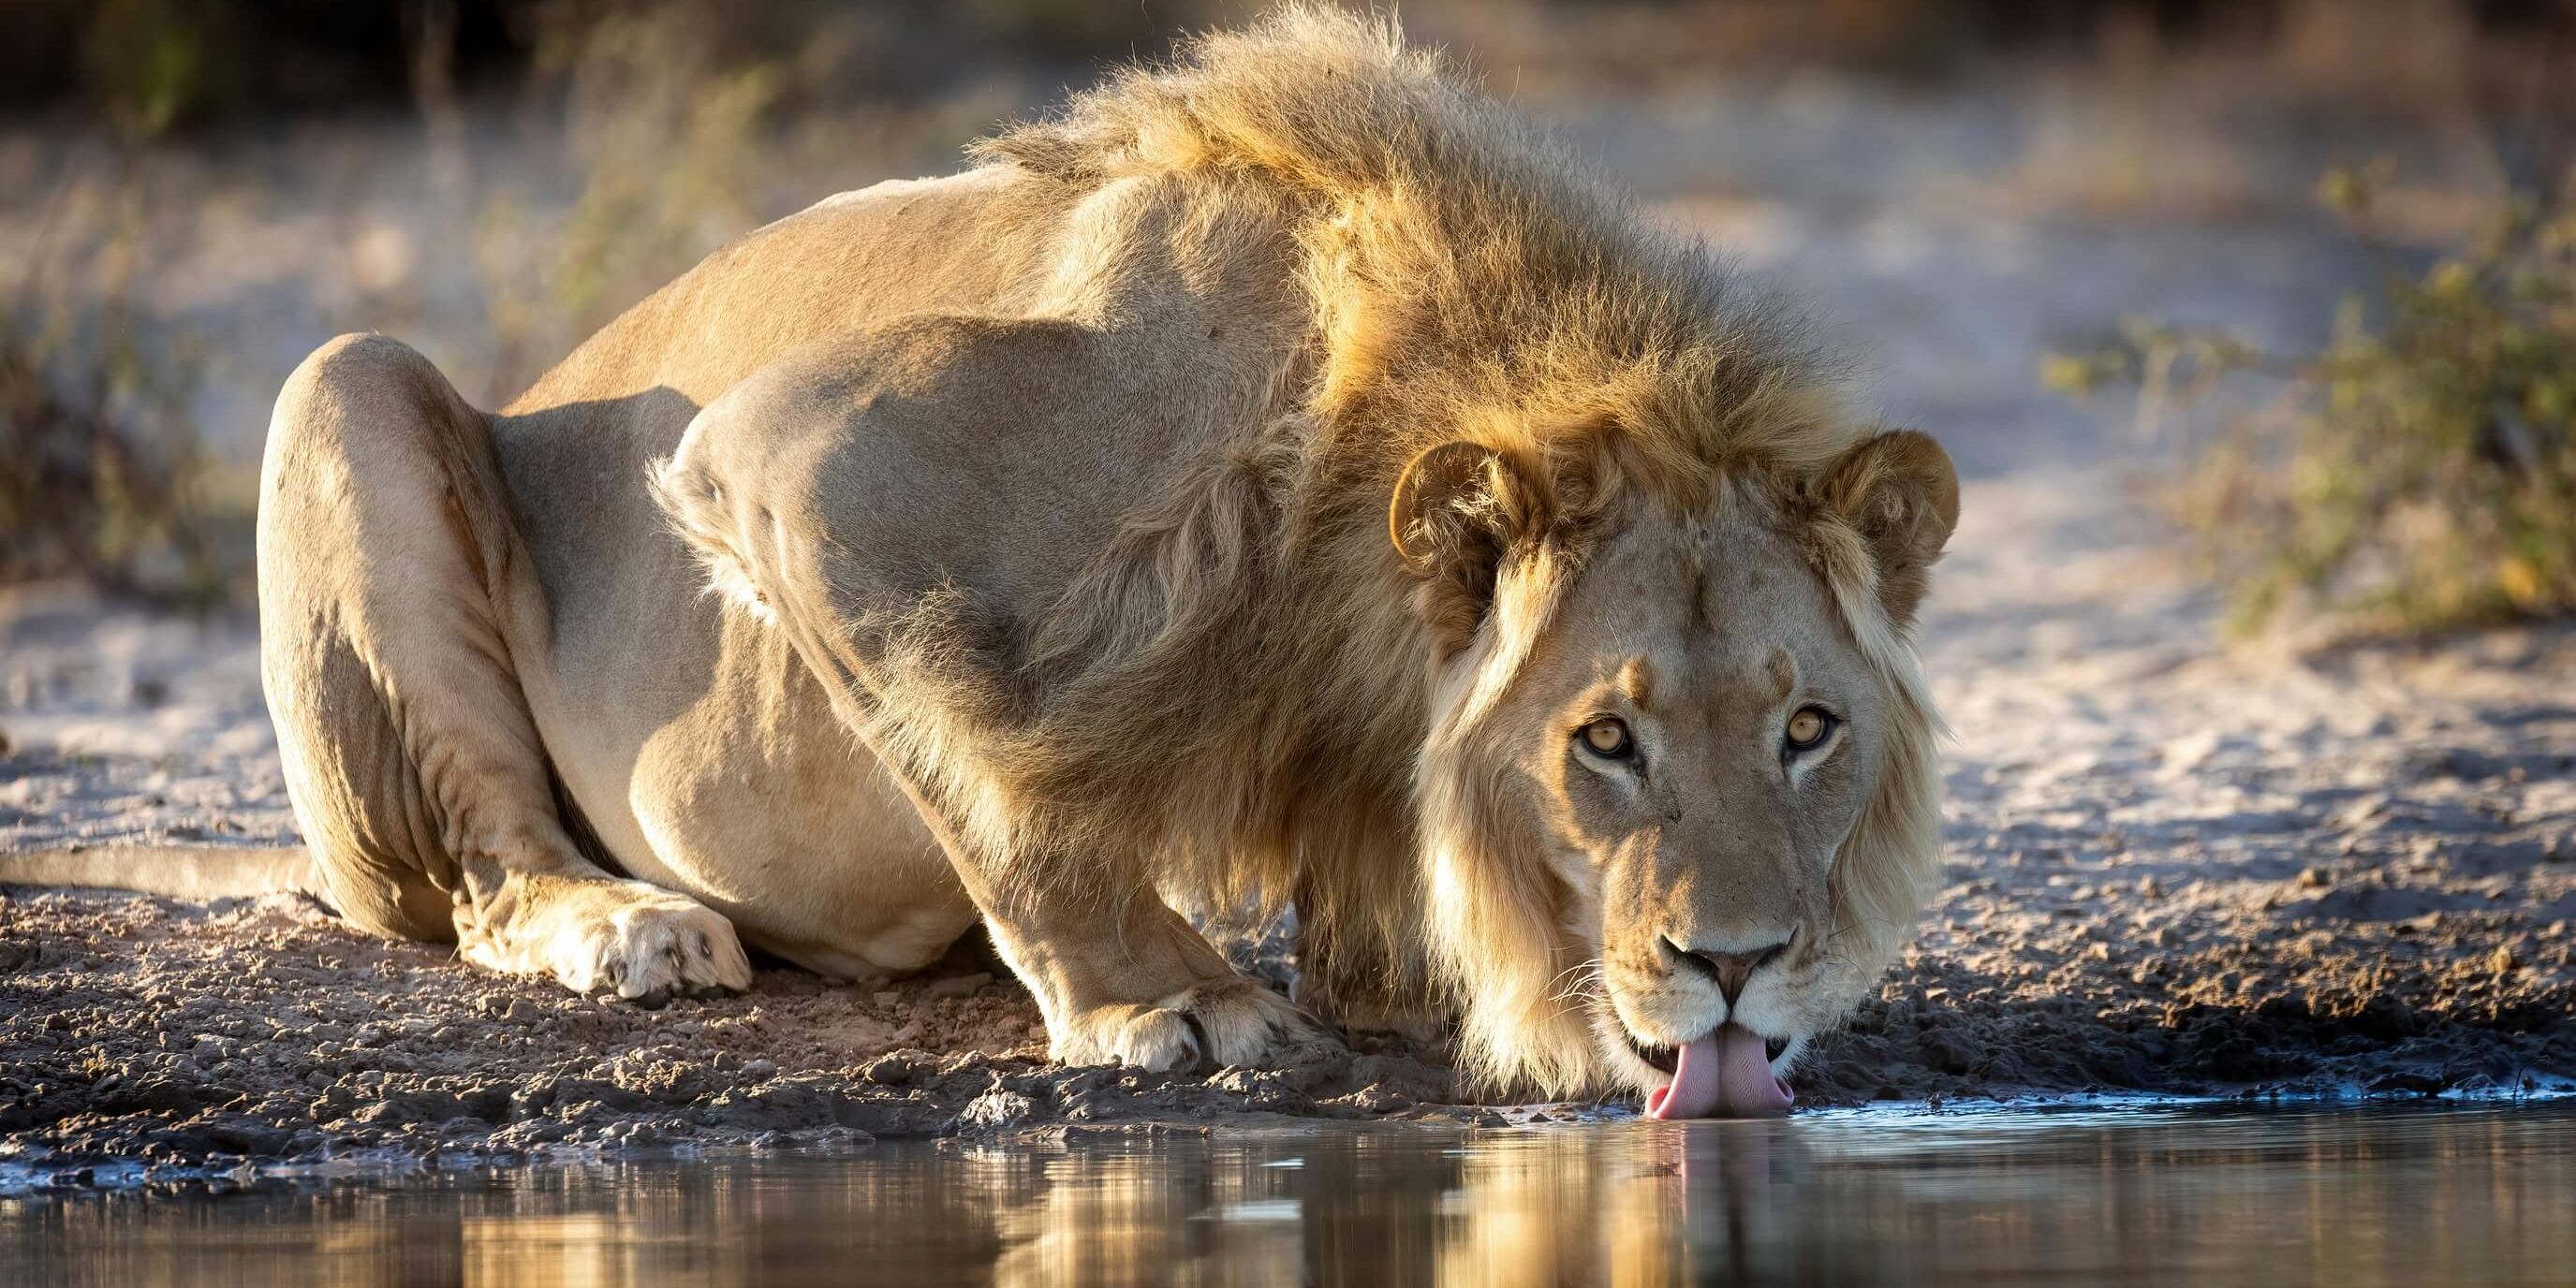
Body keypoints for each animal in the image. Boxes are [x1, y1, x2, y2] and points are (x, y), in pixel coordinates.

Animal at [27, 8, 1959, 1117]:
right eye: (1601, 742)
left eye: (1807, 729)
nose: (1738, 966)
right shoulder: (794, 464)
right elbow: (1013, 800)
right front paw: (1174, 1005)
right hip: (344, 385)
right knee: (491, 871)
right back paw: (628, 925)